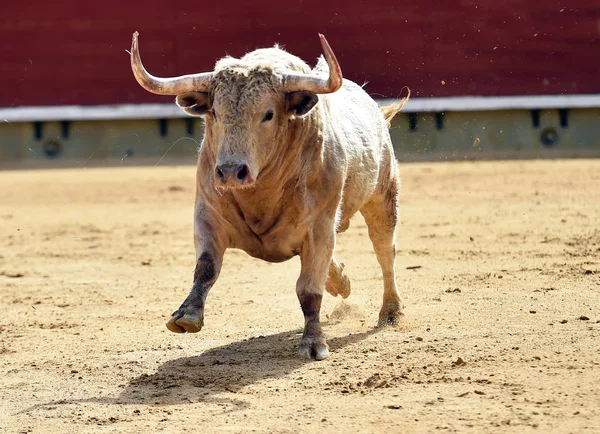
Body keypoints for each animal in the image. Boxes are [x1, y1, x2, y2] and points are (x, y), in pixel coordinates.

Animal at [129, 33, 406, 360]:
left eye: (269, 114)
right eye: (215, 113)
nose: (231, 171)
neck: (262, 193)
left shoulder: (320, 227)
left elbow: (308, 289)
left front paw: (314, 342)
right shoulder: (208, 214)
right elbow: (206, 267)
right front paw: (187, 316)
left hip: (383, 197)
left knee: (384, 251)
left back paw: (391, 312)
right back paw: (342, 281)